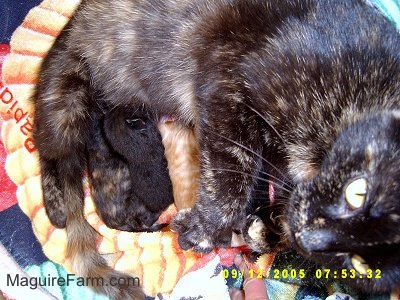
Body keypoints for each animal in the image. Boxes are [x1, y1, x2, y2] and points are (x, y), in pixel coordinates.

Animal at [32, 0, 400, 298]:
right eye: (358, 191)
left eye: (359, 265)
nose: (309, 238)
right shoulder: (226, 83)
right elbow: (233, 168)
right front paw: (208, 229)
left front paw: (260, 232)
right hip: (66, 96)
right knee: (56, 157)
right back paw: (57, 207)